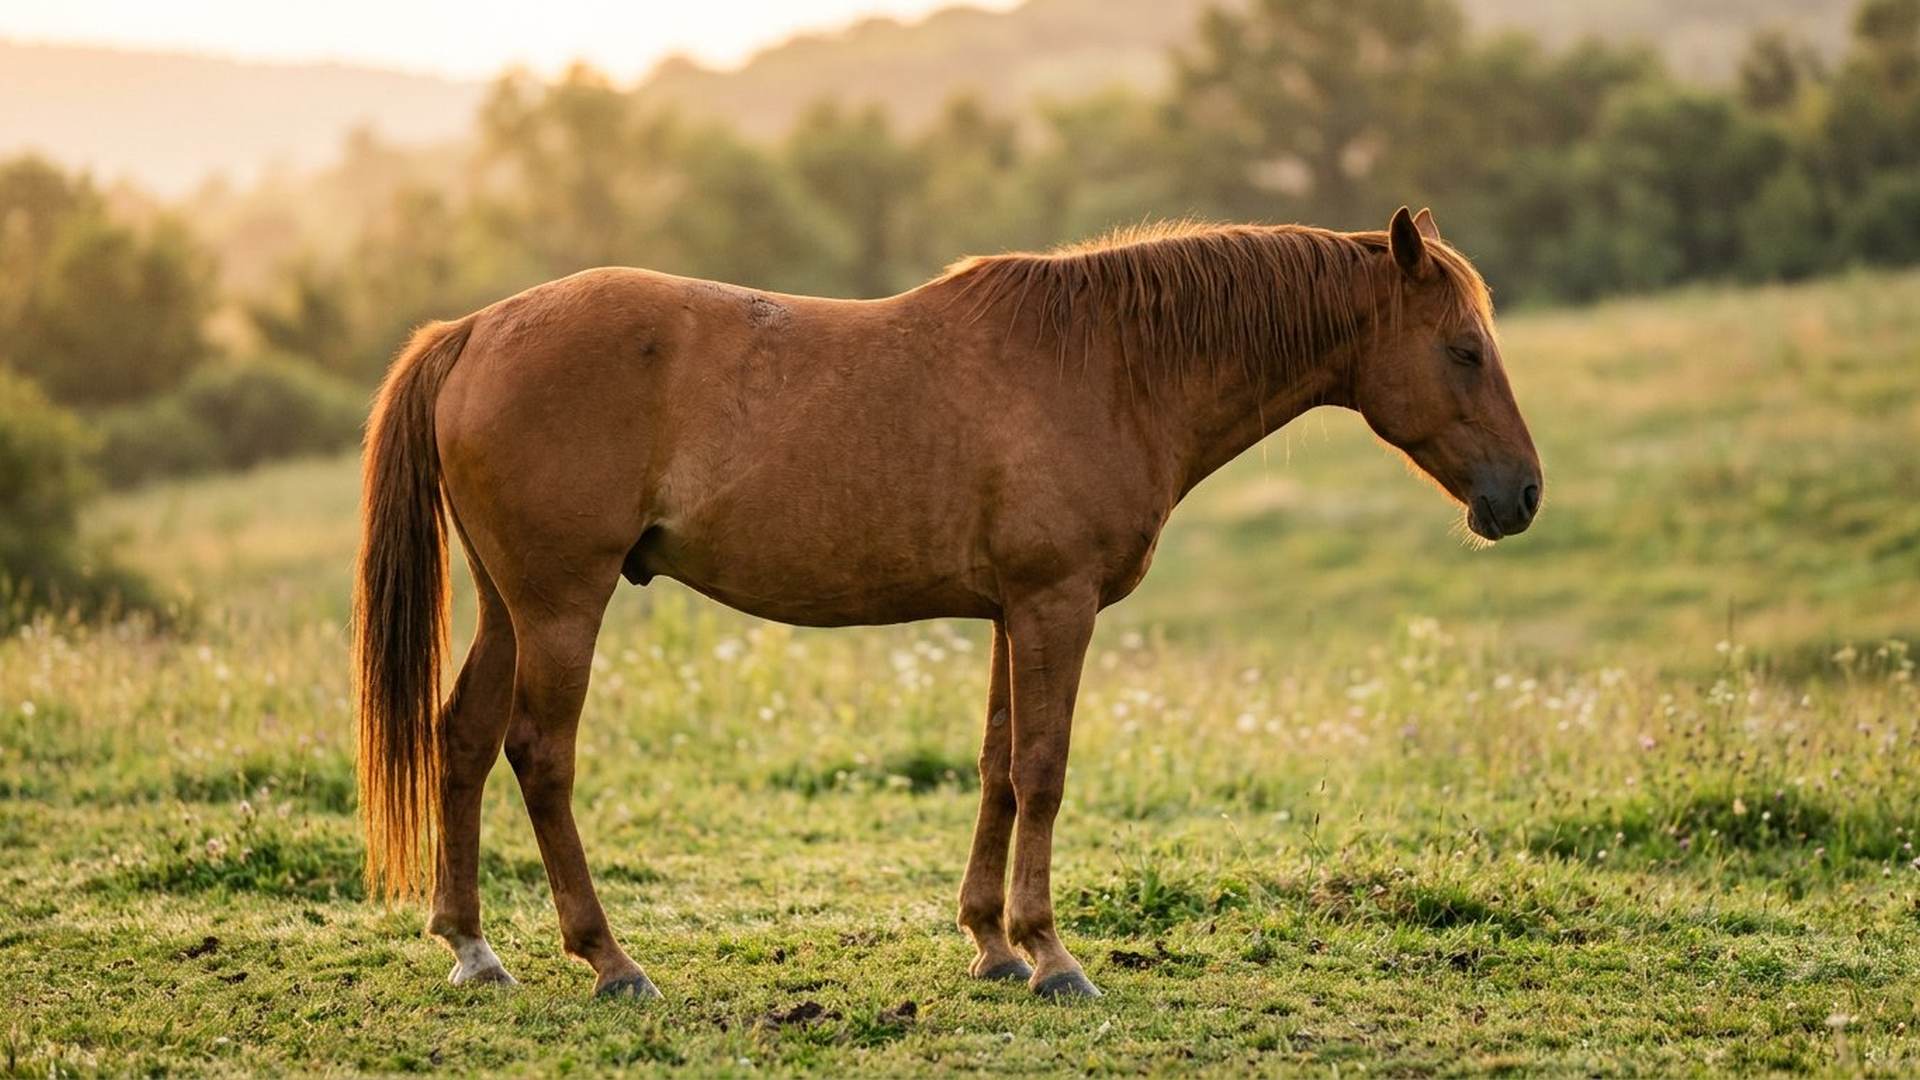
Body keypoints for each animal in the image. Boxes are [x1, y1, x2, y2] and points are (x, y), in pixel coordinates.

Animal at [353, 206, 1542, 1000]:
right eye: (1463, 349)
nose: (1521, 496)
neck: (1111, 366)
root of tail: (473, 330)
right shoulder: (1058, 607)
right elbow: (1044, 772)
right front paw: (1052, 955)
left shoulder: (1015, 614)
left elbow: (997, 768)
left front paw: (991, 943)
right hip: (564, 606)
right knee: (538, 756)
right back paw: (609, 960)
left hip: (510, 608)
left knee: (461, 742)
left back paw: (473, 948)